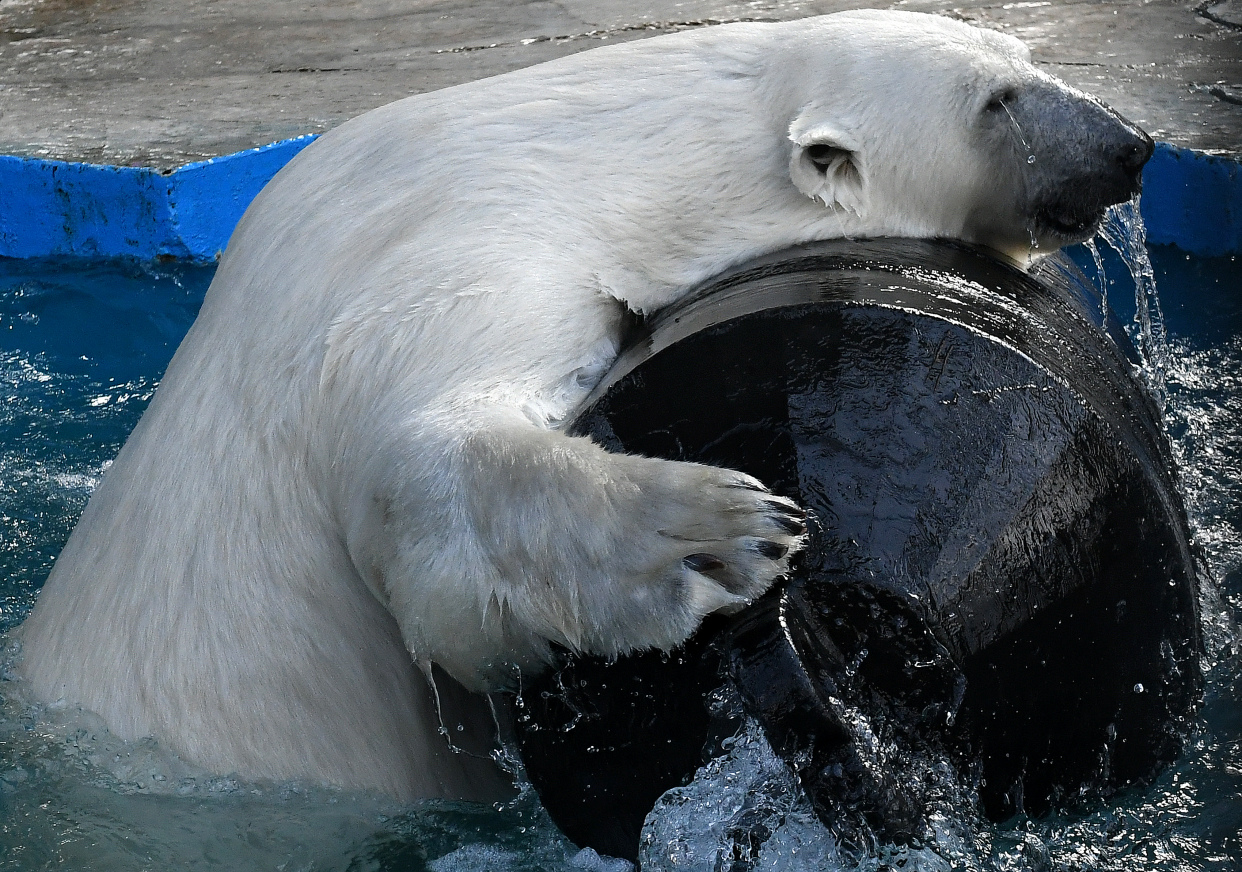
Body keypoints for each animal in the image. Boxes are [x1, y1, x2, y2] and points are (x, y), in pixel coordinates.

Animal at [12, 10, 1152, 804]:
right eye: (995, 99)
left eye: (1022, 51)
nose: (1131, 144)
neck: (609, 158)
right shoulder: (456, 266)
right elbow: (424, 486)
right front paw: (721, 532)